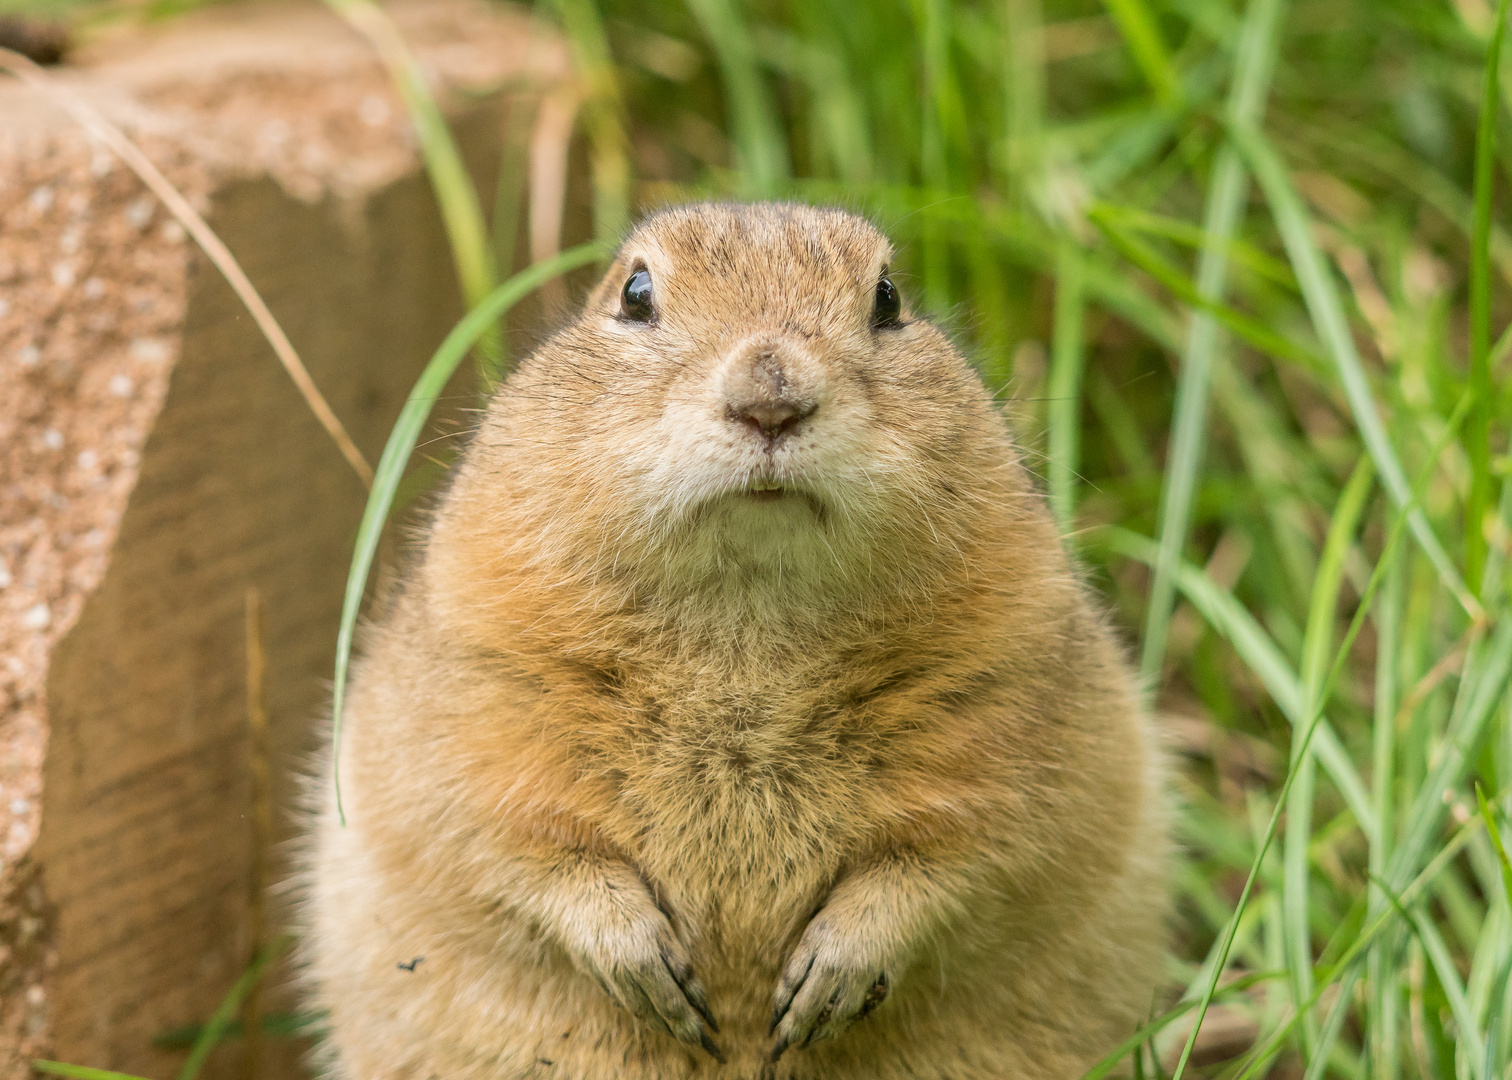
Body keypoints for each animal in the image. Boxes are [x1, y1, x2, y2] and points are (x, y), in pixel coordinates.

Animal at [294, 202, 1167, 1076]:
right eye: (635, 294)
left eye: (888, 299)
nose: (770, 399)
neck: (747, 619)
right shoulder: (478, 695)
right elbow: (511, 842)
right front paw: (657, 977)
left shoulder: (1009, 702)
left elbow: (964, 855)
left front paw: (821, 984)